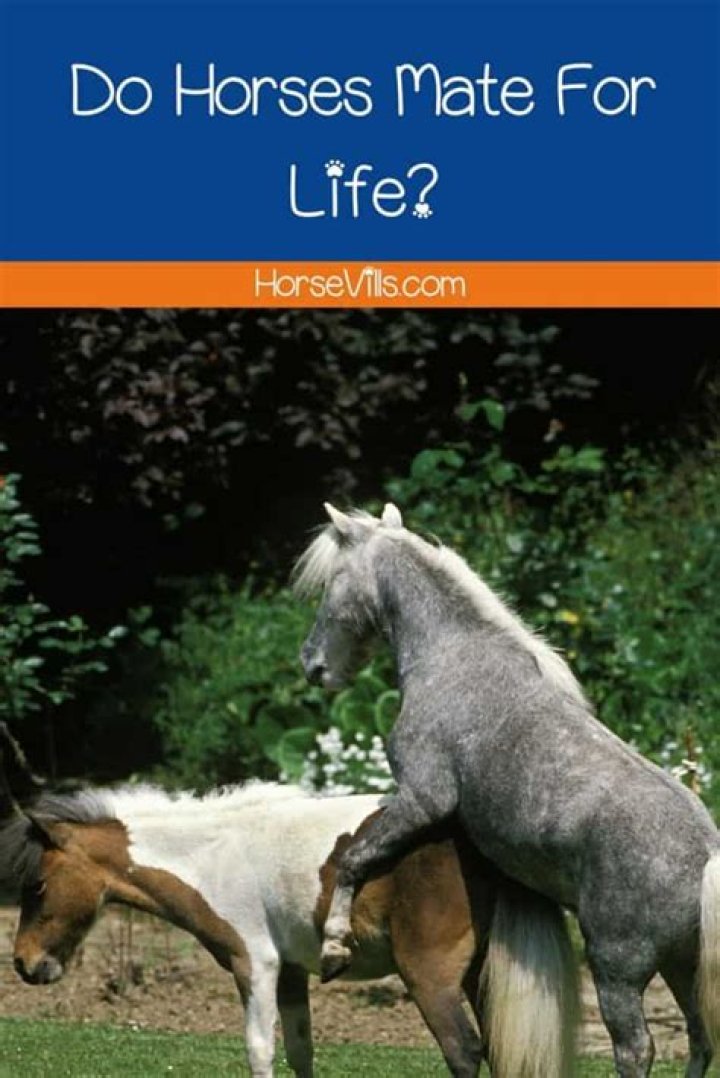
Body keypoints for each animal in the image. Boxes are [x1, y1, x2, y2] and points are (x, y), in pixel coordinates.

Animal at [0, 727, 578, 1078]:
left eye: (37, 886)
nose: (24, 964)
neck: (214, 855)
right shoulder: (295, 976)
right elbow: (301, 1051)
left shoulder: (255, 966)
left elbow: (259, 1050)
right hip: (484, 976)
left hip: (431, 979)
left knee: (464, 1051)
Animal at [294, 502, 720, 1078]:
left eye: (331, 582)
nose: (312, 665)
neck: (453, 660)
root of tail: (706, 855)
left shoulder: (422, 799)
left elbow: (355, 858)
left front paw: (335, 946)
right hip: (681, 967)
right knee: (700, 1039)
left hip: (618, 972)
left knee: (636, 1049)